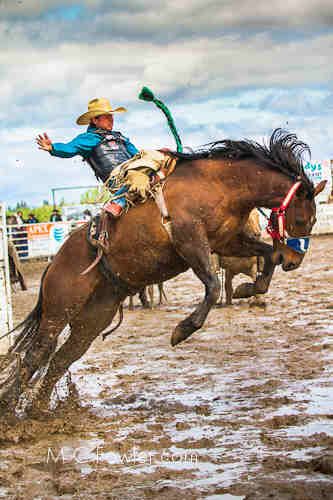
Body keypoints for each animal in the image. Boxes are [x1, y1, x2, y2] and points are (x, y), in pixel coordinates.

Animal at [0, 129, 324, 414]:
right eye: (303, 218)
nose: (294, 260)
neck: (220, 185)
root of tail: (53, 263)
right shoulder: (189, 241)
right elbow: (213, 287)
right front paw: (182, 330)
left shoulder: (227, 241)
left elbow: (266, 255)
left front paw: (249, 289)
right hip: (59, 309)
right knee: (36, 354)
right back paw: (12, 413)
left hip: (94, 317)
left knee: (61, 358)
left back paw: (39, 411)